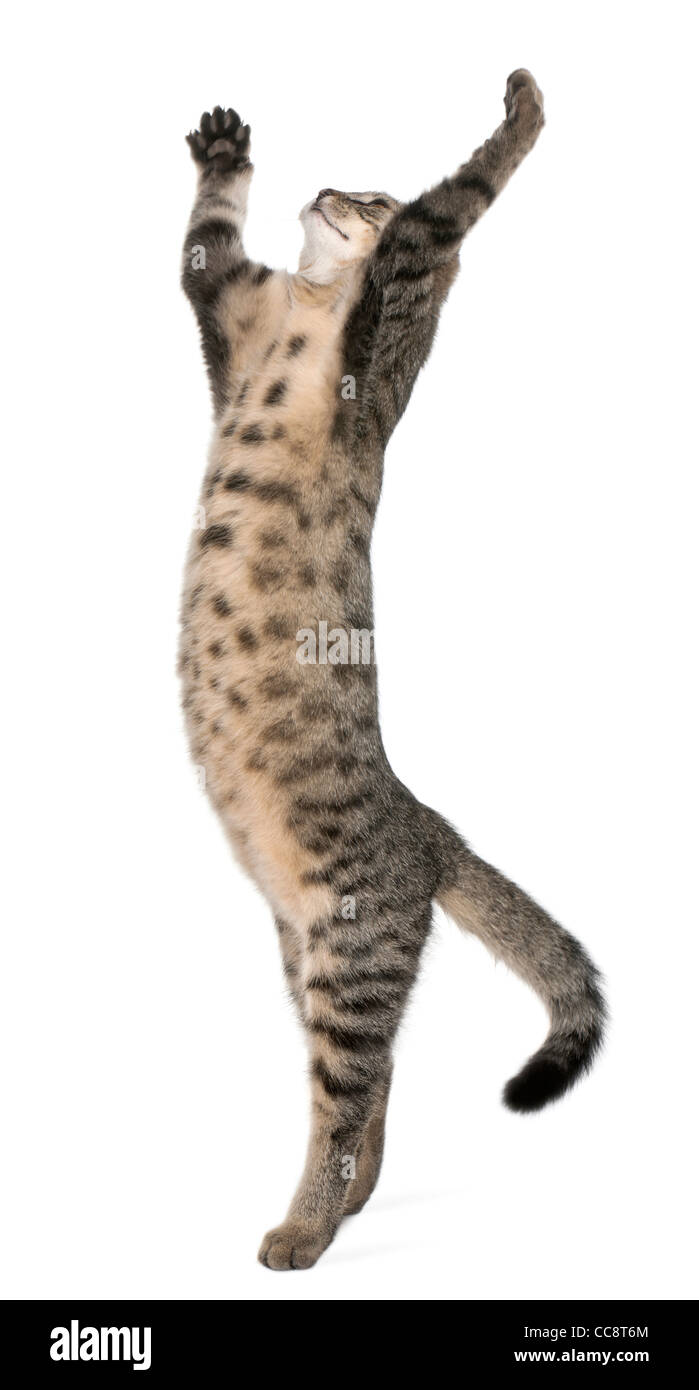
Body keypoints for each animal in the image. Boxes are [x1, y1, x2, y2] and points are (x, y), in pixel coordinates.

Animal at [180, 73, 608, 1273]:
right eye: (340, 181)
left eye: (369, 193)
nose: (330, 189)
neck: (313, 300)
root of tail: (430, 828)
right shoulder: (228, 311)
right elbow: (202, 239)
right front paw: (224, 155)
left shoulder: (405, 287)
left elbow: (453, 197)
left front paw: (521, 107)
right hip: (306, 954)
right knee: (364, 1094)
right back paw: (341, 1209)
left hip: (348, 950)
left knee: (347, 1094)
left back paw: (303, 1231)